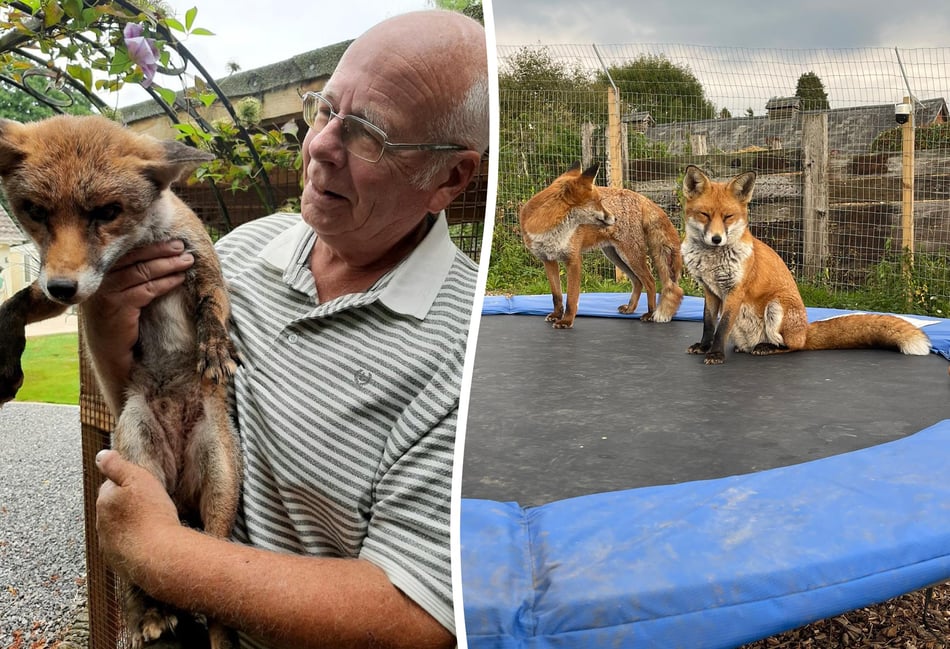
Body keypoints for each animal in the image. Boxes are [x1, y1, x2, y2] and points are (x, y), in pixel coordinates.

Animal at [0, 114, 241, 649]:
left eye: (107, 212)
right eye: (36, 212)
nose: (63, 288)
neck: (142, 244)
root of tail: (176, 493)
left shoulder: (198, 255)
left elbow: (213, 304)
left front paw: (215, 348)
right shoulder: (72, 286)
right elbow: (15, 304)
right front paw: (6, 364)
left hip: (220, 487)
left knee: (217, 585)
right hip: (139, 461)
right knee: (143, 575)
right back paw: (148, 614)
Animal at [519, 162, 684, 329]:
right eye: (598, 202)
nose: (615, 218)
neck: (548, 228)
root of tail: (639, 196)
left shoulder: (573, 260)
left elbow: (571, 298)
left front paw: (566, 320)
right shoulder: (548, 260)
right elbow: (557, 296)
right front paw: (557, 315)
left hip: (630, 255)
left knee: (650, 281)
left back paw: (650, 313)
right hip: (615, 256)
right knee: (638, 281)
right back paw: (631, 308)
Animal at [680, 164, 931, 365]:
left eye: (728, 217)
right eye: (704, 214)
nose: (716, 239)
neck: (711, 259)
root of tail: (806, 330)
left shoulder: (735, 290)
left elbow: (721, 328)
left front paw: (716, 354)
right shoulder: (710, 290)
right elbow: (709, 324)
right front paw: (704, 346)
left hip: (777, 307)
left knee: (793, 347)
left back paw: (767, 347)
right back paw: (749, 347)